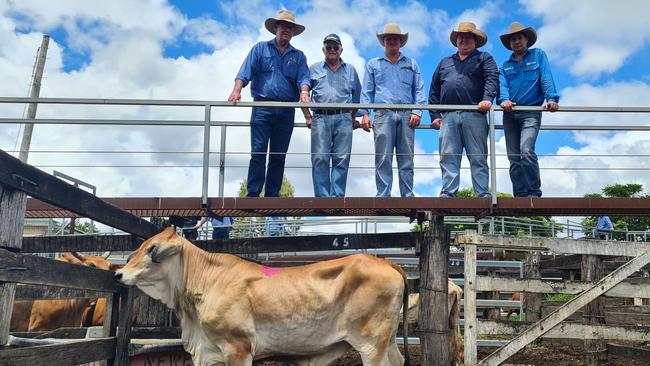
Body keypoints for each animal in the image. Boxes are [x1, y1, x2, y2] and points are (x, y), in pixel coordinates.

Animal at [115, 229, 410, 366]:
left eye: (151, 248)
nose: (118, 273)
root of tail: (385, 262)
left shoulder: (238, 347)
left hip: (371, 345)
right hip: (387, 341)